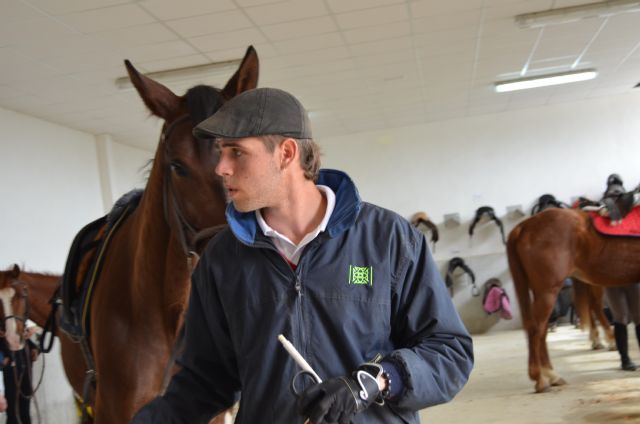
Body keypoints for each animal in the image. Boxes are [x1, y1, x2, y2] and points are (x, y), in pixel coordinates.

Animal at [508, 207, 636, 392]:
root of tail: (524, 226)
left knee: (543, 329)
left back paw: (552, 375)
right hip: (549, 292)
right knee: (537, 328)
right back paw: (540, 378)